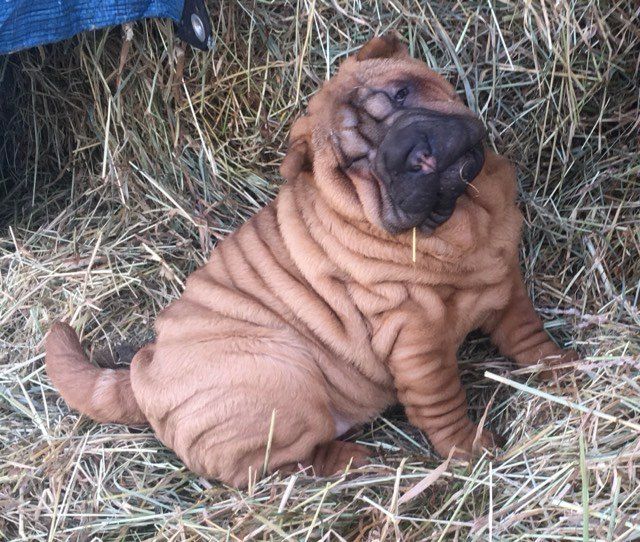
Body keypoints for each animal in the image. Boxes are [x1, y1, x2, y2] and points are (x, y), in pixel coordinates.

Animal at [46, 33, 577, 488]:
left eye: (402, 92)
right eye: (355, 164)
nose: (412, 152)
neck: (467, 216)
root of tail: (141, 376)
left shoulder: (504, 282)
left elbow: (528, 335)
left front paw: (563, 368)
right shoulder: (414, 340)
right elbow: (441, 401)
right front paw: (470, 450)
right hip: (284, 381)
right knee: (276, 467)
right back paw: (355, 459)